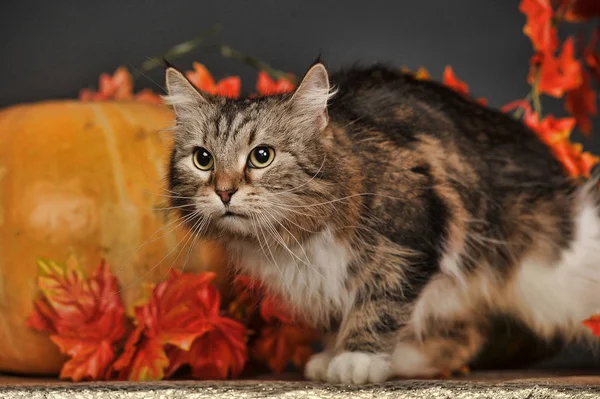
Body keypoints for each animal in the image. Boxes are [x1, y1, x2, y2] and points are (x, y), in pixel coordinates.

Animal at [162, 61, 600, 384]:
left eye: (262, 156)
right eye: (203, 159)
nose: (224, 192)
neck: (297, 239)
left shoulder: (409, 238)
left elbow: (380, 303)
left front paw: (356, 358)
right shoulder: (325, 283)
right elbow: (341, 316)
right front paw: (335, 352)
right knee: (465, 336)